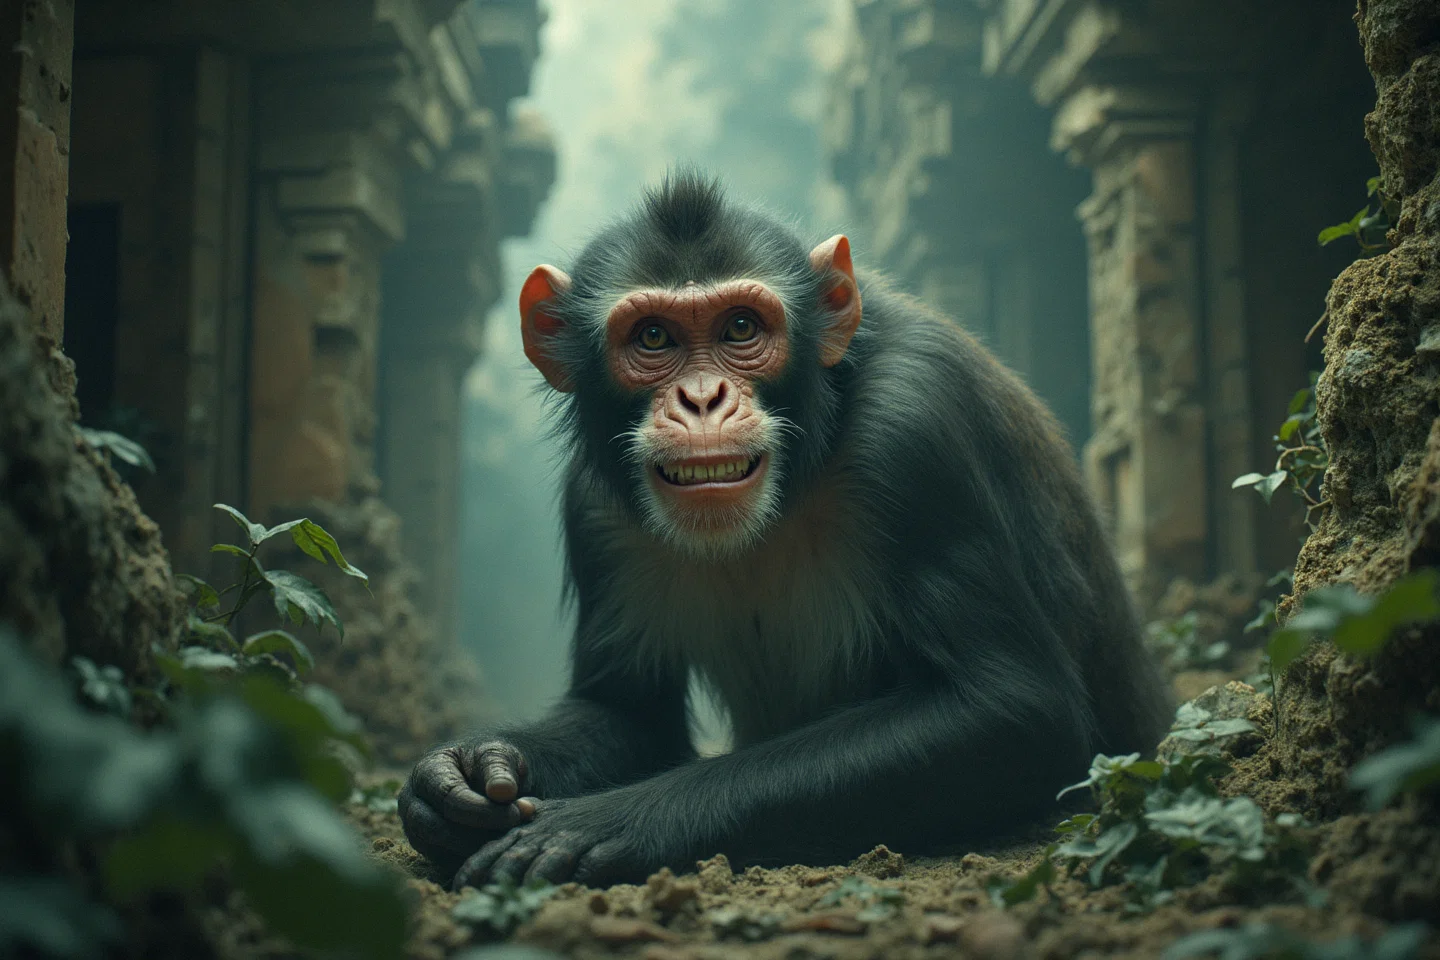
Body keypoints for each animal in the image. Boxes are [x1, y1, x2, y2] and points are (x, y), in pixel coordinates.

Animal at [398, 171, 1172, 889]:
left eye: (741, 328)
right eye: (653, 337)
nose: (702, 398)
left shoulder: (918, 428)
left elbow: (1010, 704)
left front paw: (602, 823)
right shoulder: (592, 507)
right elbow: (626, 713)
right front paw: (462, 770)